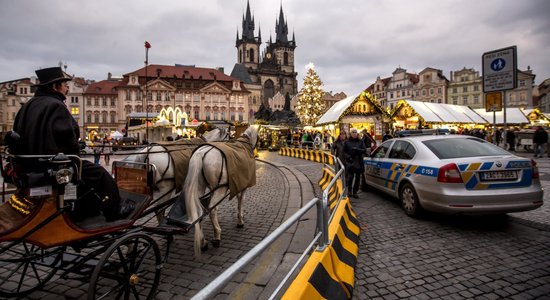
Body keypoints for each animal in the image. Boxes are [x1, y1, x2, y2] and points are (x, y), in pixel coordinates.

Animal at [184, 124, 260, 255]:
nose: (257, 151)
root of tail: (201, 153)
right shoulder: (243, 186)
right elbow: (241, 201)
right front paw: (240, 221)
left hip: (200, 187)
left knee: (199, 211)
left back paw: (203, 242)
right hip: (221, 189)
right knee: (211, 210)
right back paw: (217, 236)